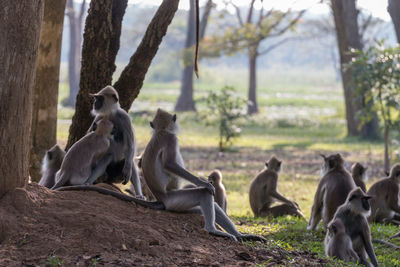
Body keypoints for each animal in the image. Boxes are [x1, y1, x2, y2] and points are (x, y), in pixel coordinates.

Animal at [141, 109, 266, 243]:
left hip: (180, 206)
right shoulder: (171, 138)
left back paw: (241, 236)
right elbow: (169, 164)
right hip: (173, 200)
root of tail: (161, 199)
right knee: (204, 193)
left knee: (212, 205)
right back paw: (212, 230)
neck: (160, 132)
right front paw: (204, 183)